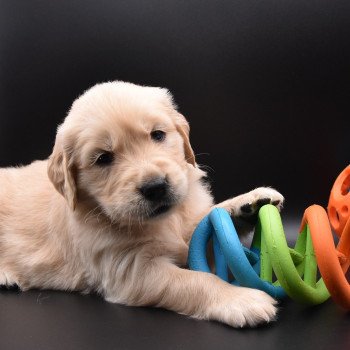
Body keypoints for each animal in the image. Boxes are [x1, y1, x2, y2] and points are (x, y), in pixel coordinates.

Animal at [0, 82, 284, 328]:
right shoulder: (132, 271)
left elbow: (208, 220)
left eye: (157, 135)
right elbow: (195, 280)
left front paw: (248, 203)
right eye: (103, 158)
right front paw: (239, 299)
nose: (155, 187)